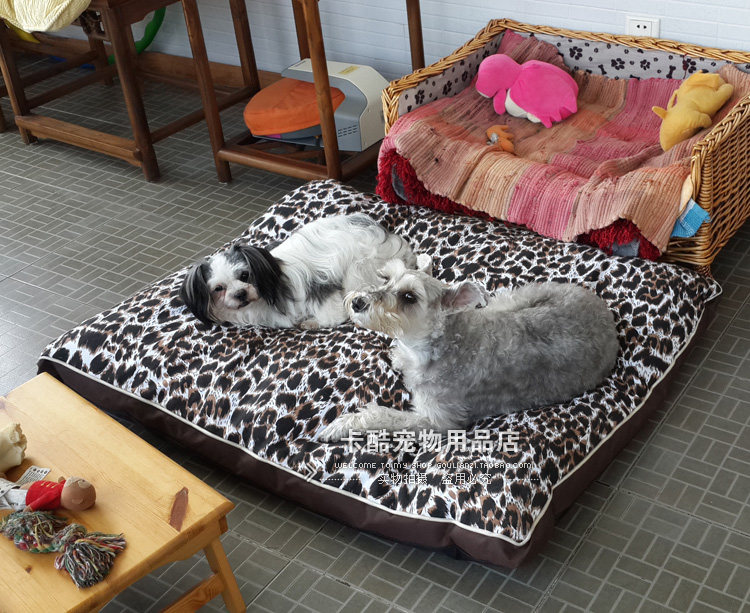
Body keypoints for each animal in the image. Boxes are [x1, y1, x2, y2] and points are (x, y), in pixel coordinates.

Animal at [180, 214, 417, 329]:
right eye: (218, 288)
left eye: (244, 275)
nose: (240, 293)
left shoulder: (318, 287)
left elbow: (335, 315)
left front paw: (314, 322)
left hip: (358, 269)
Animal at [320, 258, 619, 440]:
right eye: (386, 279)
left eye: (409, 297)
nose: (358, 302)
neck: (434, 346)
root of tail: (606, 315)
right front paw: (397, 357)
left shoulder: (437, 422)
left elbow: (385, 415)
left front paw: (339, 426)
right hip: (513, 300)